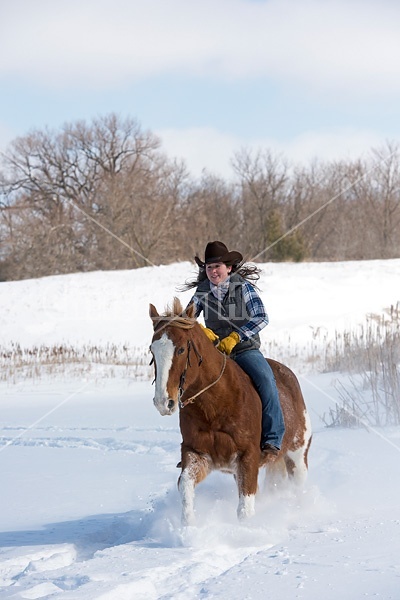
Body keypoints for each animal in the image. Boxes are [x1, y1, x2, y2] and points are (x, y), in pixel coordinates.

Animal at [149, 298, 312, 524]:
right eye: (152, 350)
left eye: (181, 350)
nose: (163, 402)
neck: (216, 406)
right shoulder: (197, 455)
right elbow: (185, 486)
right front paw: (188, 526)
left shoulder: (248, 459)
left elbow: (245, 509)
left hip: (297, 455)